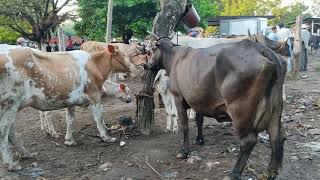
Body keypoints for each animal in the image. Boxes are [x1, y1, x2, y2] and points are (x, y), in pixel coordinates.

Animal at [0, 43, 136, 170]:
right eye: (122, 54)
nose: (133, 68)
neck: (94, 65)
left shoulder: (72, 100)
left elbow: (70, 120)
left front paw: (69, 140)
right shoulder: (94, 96)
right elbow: (99, 119)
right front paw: (106, 137)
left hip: (14, 106)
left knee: (11, 133)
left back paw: (25, 154)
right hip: (9, 104)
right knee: (3, 132)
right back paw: (11, 163)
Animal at [146, 33, 286, 179]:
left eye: (151, 50)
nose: (146, 65)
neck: (174, 57)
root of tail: (259, 47)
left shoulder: (179, 99)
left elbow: (185, 126)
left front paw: (184, 151)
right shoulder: (198, 100)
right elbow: (199, 121)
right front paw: (200, 140)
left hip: (240, 110)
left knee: (249, 140)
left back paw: (234, 173)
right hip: (275, 108)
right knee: (277, 136)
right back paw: (271, 172)